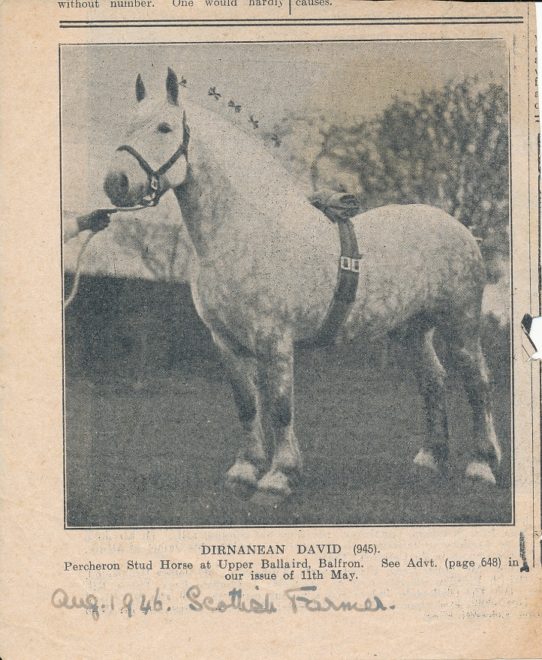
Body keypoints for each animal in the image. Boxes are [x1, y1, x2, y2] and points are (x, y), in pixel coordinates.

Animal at [103, 68, 502, 504]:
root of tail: (461, 229)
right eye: (126, 124)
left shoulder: (274, 339)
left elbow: (279, 406)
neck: (243, 231)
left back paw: (482, 466)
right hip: (411, 331)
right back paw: (430, 459)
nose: (116, 182)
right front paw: (244, 471)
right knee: (432, 381)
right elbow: (247, 404)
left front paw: (278, 477)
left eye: (164, 127)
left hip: (461, 326)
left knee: (478, 384)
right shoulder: (226, 342)